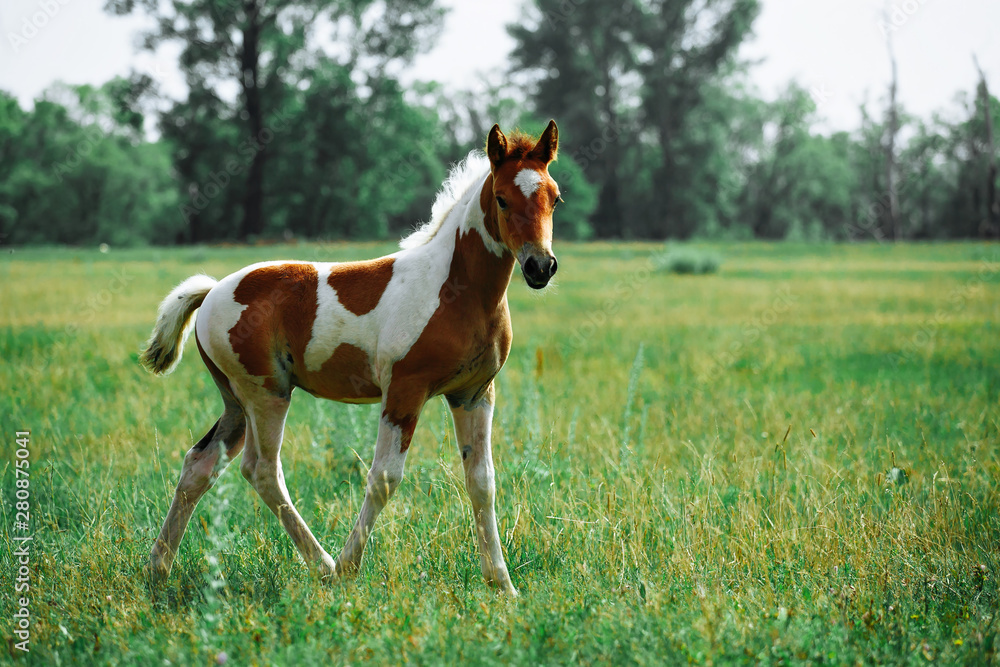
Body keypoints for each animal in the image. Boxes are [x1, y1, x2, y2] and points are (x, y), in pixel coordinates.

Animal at [140, 121, 561, 596]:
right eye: (503, 198)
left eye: (554, 197)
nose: (540, 267)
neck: (456, 290)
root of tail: (212, 290)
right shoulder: (404, 392)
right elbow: (383, 479)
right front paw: (348, 567)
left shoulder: (474, 395)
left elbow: (482, 482)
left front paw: (502, 585)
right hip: (266, 395)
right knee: (262, 470)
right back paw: (323, 565)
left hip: (235, 402)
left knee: (200, 465)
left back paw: (158, 568)